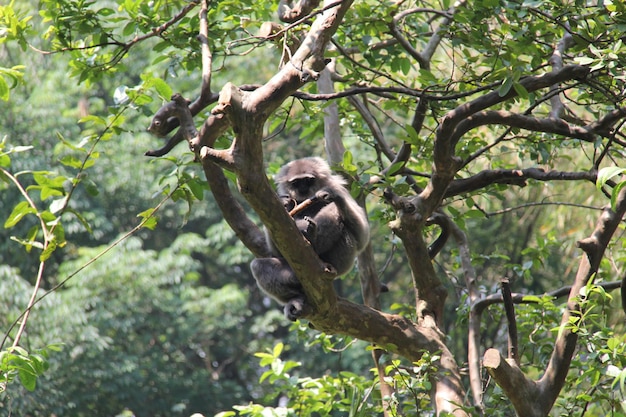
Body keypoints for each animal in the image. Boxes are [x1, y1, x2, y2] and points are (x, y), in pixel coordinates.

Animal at [249, 158, 368, 320]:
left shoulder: (337, 187)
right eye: (296, 183)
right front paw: (285, 205)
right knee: (258, 266)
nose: (303, 188)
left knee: (336, 211)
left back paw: (313, 237)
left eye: (307, 180)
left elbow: (362, 236)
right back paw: (297, 296)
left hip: (340, 263)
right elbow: (277, 249)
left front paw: (333, 196)